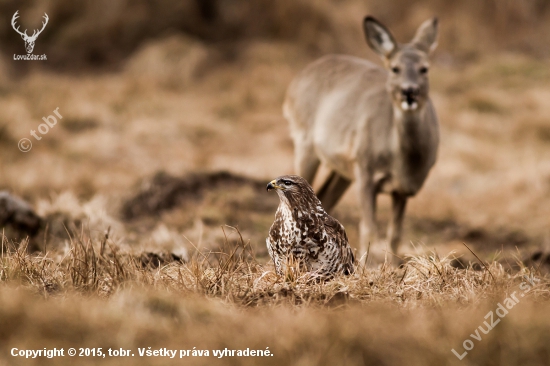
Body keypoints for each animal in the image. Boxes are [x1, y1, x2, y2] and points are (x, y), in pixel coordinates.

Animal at [284, 16, 440, 264]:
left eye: (424, 68)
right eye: (395, 68)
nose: (409, 92)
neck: (402, 162)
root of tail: (299, 78)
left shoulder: (401, 189)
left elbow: (394, 235)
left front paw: (394, 268)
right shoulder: (366, 168)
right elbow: (369, 229)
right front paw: (367, 267)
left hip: (343, 168)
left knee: (324, 198)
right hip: (304, 140)